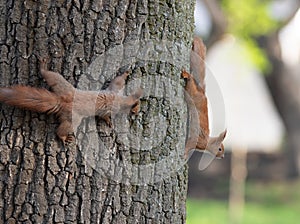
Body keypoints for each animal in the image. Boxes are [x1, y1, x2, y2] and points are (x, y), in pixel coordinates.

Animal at [0, 59, 142, 144]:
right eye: (135, 109)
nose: (137, 113)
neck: (121, 100)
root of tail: (61, 100)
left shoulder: (114, 90)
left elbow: (117, 81)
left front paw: (126, 73)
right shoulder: (109, 106)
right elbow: (104, 116)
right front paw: (109, 122)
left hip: (60, 83)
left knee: (49, 75)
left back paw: (42, 67)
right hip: (73, 118)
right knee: (62, 129)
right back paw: (63, 137)